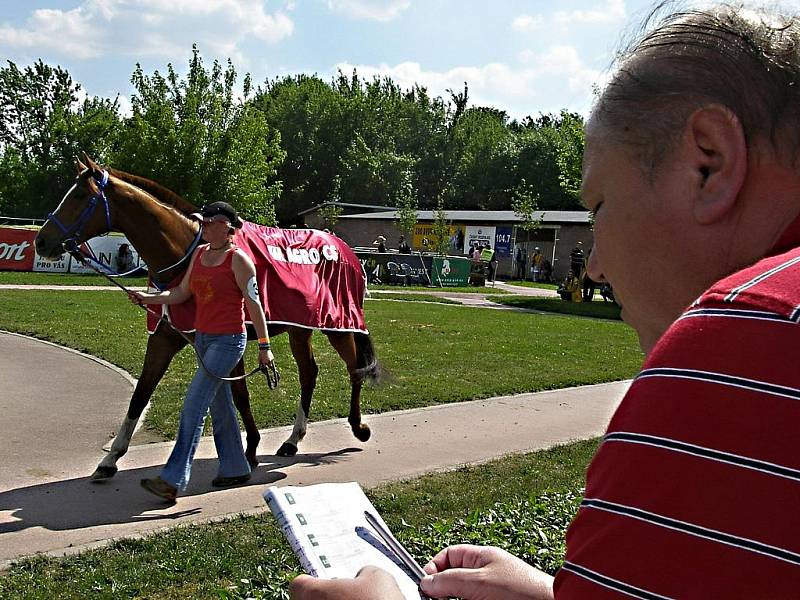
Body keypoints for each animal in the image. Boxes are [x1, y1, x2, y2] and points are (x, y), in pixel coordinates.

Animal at [33, 157, 378, 480]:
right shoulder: (165, 338)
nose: (41, 241)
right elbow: (141, 393)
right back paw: (293, 439)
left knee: (354, 368)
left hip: (337, 324)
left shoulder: (234, 338)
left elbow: (240, 394)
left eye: (79, 195)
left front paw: (250, 448)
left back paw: (358, 426)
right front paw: (110, 459)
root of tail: (342, 246)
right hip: (300, 328)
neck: (187, 253)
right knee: (309, 373)